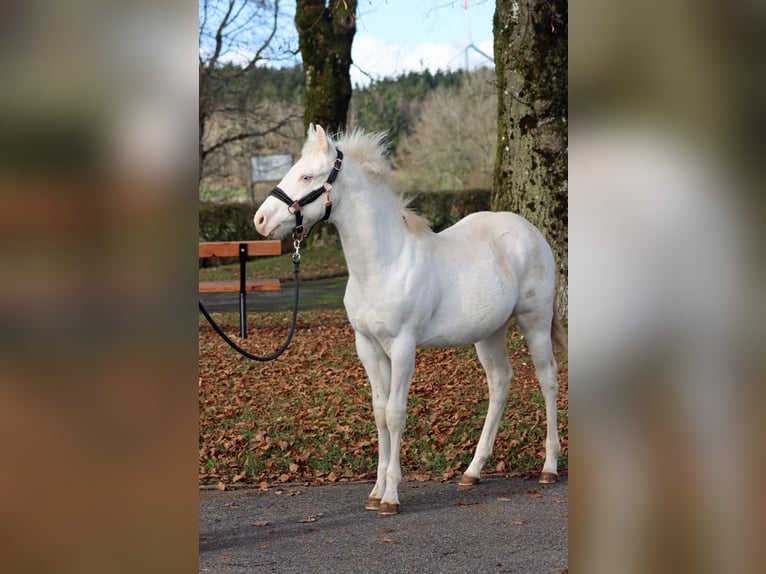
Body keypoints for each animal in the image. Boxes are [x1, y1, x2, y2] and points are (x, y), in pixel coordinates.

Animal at [254, 124, 566, 515]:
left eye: (307, 176)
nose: (260, 220)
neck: (384, 264)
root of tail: (531, 231)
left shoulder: (403, 347)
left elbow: (394, 413)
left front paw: (390, 496)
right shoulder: (369, 348)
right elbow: (378, 412)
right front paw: (375, 492)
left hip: (534, 321)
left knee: (548, 379)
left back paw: (549, 467)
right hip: (489, 333)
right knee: (500, 383)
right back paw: (472, 471)